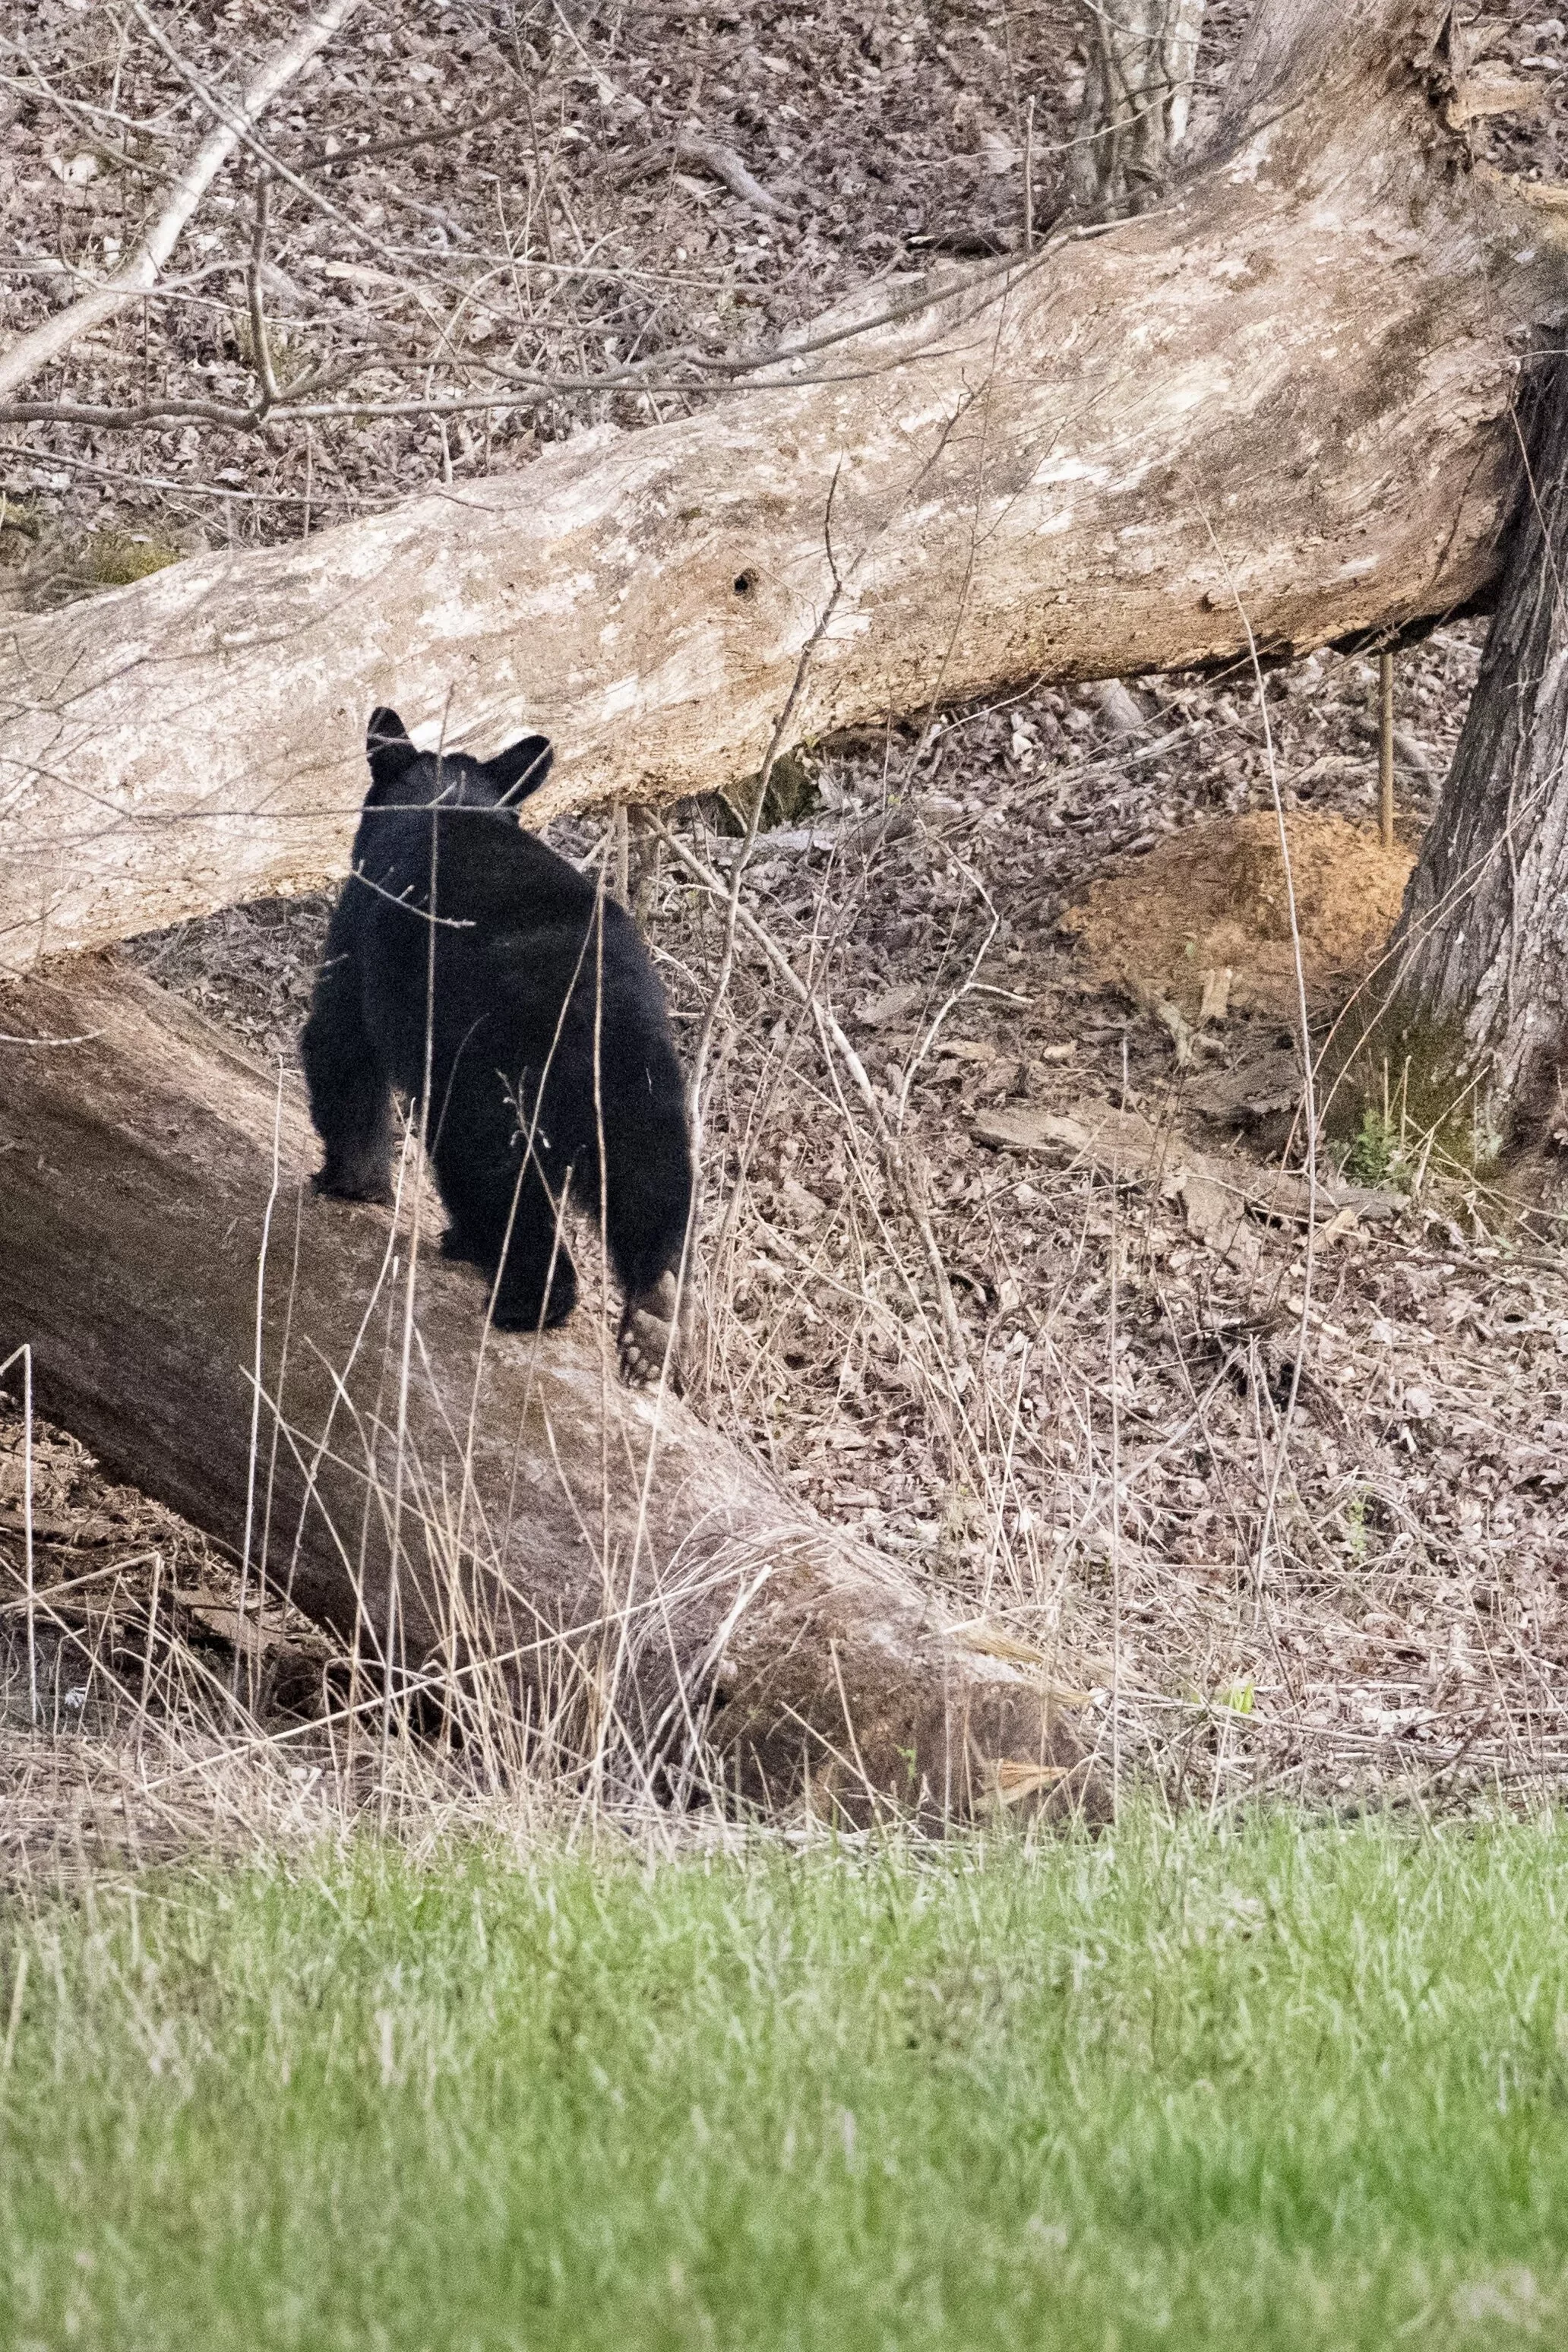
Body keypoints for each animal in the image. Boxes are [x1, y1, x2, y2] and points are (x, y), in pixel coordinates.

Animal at [300, 707, 694, 1386]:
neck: (449, 802)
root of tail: (583, 1001)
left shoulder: (362, 928)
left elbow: (341, 1045)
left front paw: (351, 1181)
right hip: (639, 1069)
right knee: (651, 1174)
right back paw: (654, 1316)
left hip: (490, 1071)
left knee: (489, 1171)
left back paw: (525, 1298)